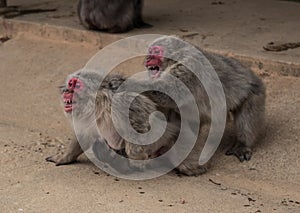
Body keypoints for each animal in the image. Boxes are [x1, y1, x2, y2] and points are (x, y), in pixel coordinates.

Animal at [140, 36, 264, 173]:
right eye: (149, 51)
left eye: (156, 51)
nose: (147, 58)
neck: (177, 58)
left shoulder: (188, 67)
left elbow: (166, 95)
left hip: (253, 91)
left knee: (248, 111)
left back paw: (243, 144)